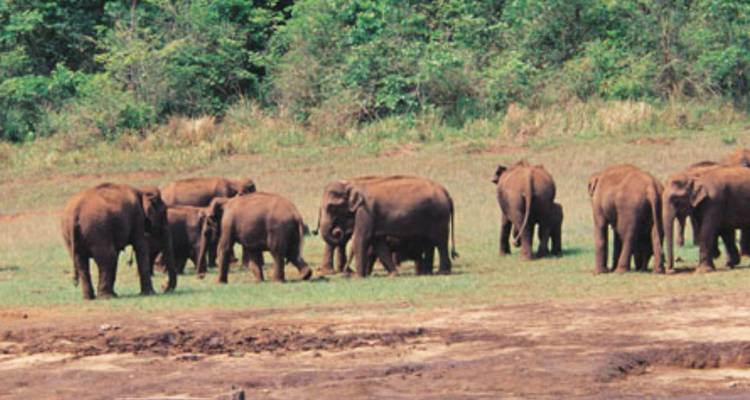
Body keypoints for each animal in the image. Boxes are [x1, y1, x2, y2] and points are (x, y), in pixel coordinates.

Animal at [318, 175, 456, 278]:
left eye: (331, 207)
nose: (337, 231)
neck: (352, 185)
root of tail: (446, 193)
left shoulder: (365, 211)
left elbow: (361, 238)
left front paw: (357, 277)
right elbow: (378, 242)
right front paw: (393, 274)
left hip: (439, 216)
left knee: (440, 241)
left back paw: (442, 272)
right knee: (431, 242)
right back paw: (428, 273)